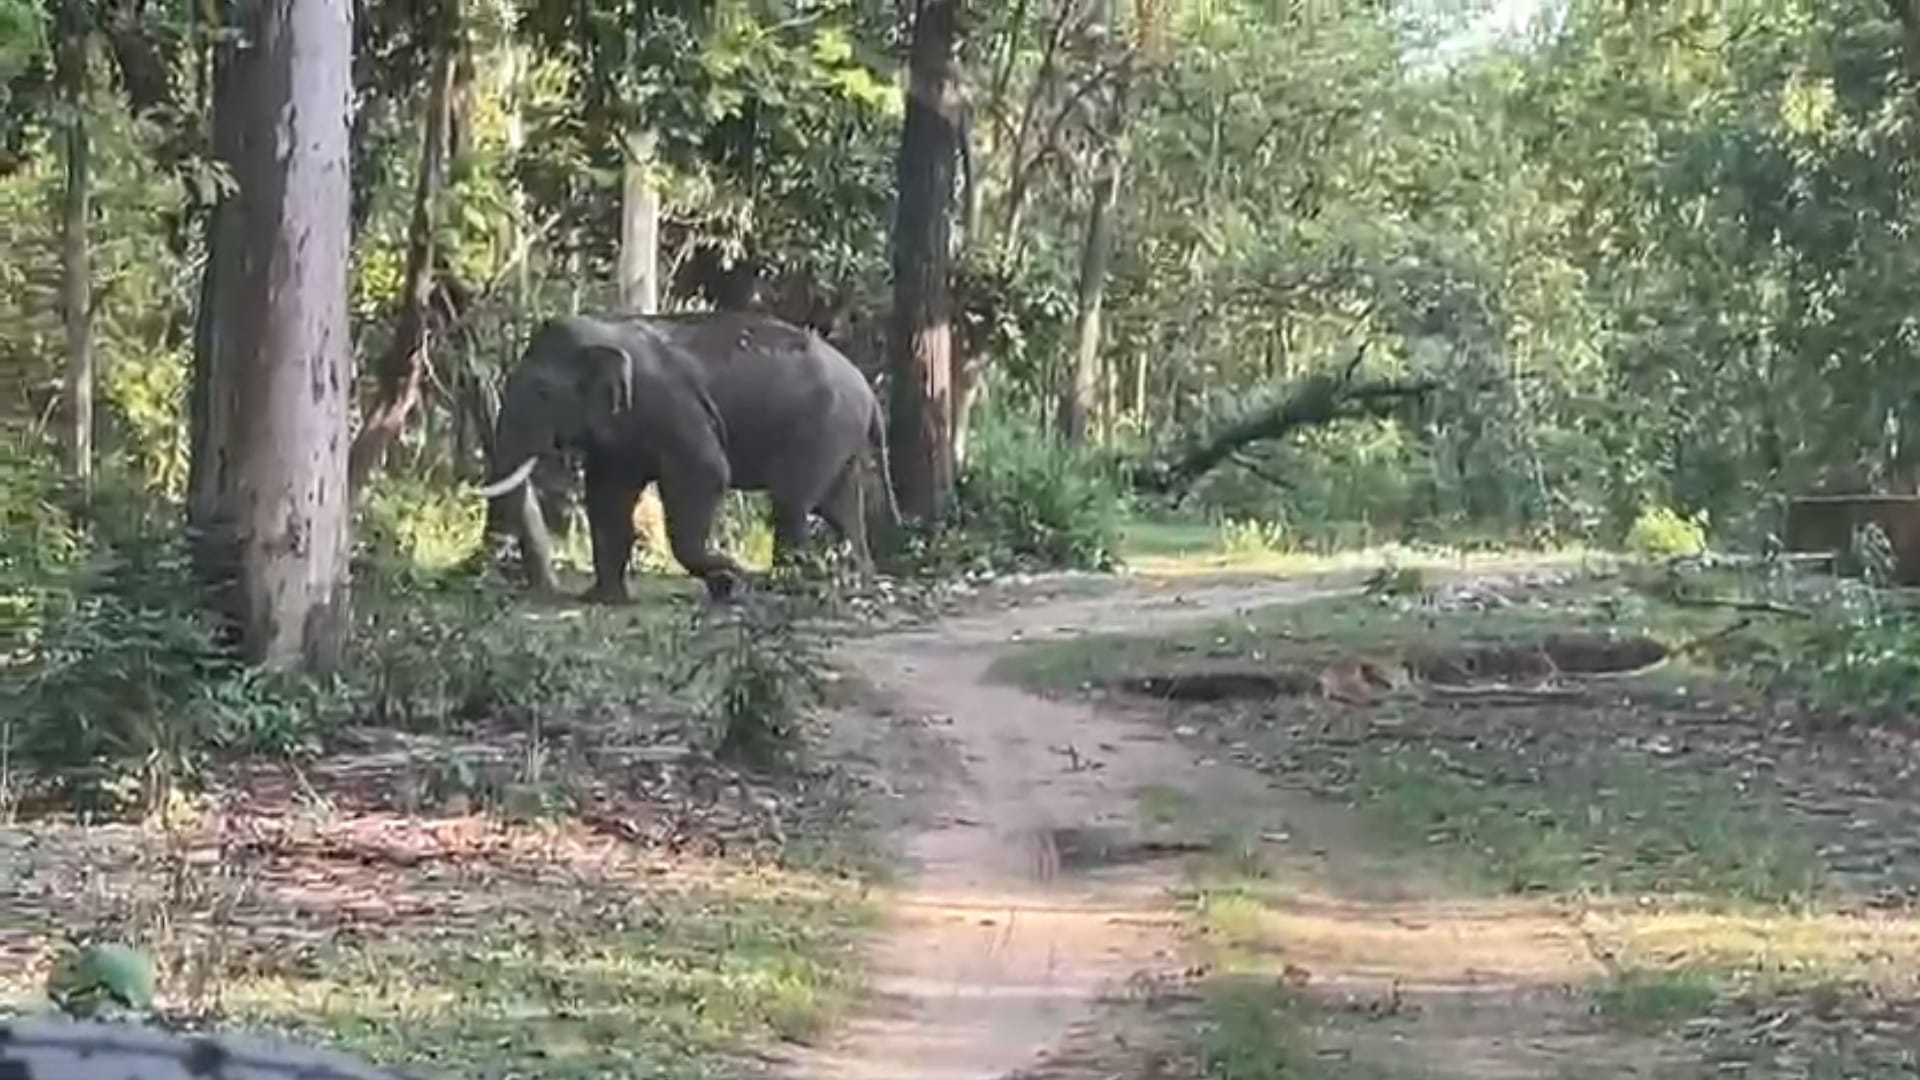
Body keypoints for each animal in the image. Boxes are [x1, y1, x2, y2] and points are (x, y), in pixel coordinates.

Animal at [475, 310, 902, 603]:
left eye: (543, 393)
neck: (606, 328)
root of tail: (868, 391)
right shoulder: (622, 436)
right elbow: (607, 496)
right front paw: (603, 599)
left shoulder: (673, 408)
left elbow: (708, 473)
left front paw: (730, 578)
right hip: (838, 438)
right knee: (840, 507)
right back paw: (858, 582)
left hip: (822, 429)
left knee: (794, 503)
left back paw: (785, 586)